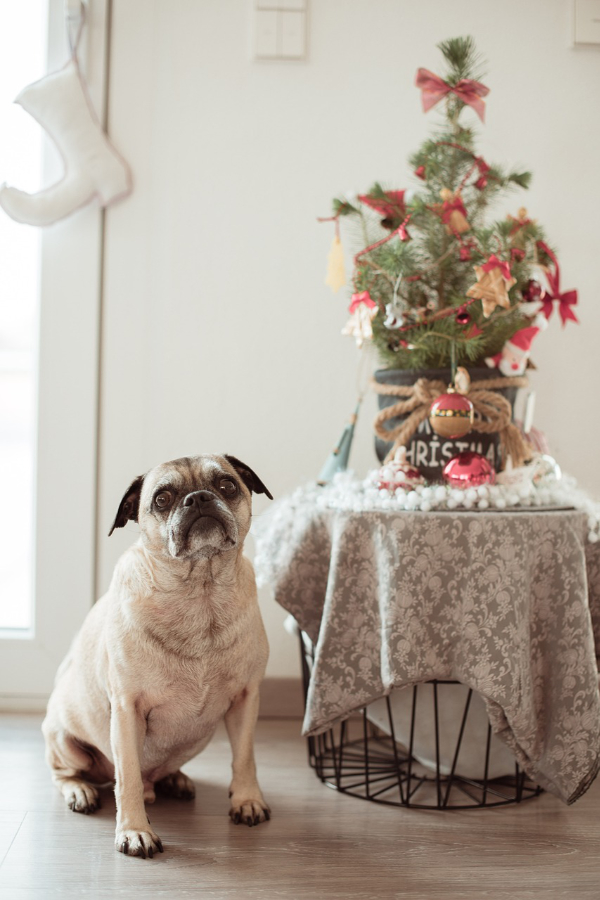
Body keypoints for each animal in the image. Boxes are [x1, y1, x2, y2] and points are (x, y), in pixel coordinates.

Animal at [43, 458, 274, 856]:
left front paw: (246, 800)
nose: (199, 498)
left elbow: (244, 758)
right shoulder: (127, 711)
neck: (200, 593)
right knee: (68, 773)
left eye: (226, 485)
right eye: (162, 499)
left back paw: (174, 780)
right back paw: (80, 791)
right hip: (67, 743)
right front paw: (134, 831)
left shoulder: (246, 700)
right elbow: (128, 780)